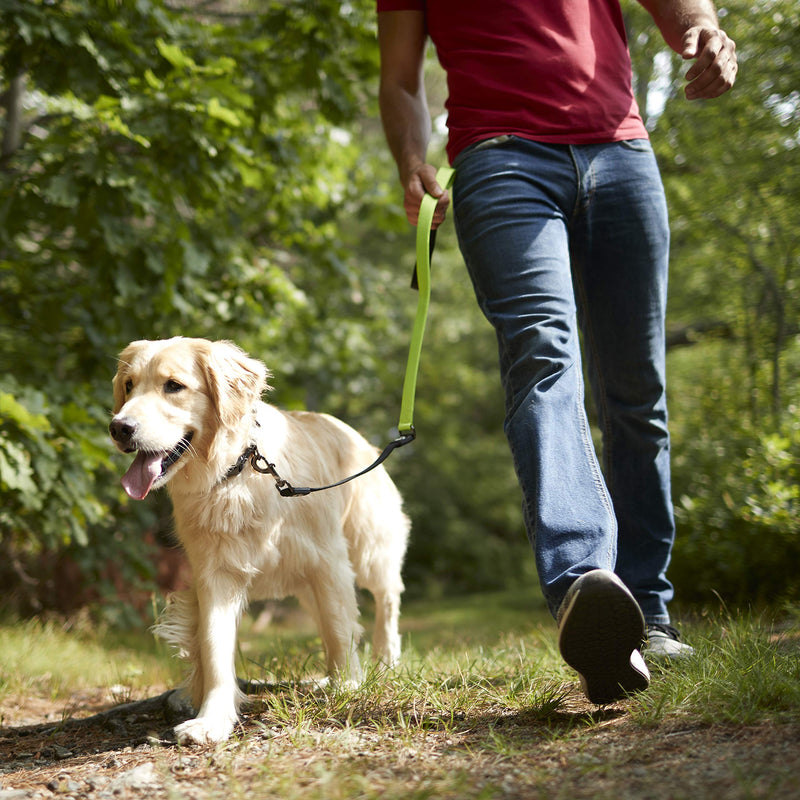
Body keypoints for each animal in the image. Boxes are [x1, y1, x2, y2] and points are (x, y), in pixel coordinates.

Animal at [109, 336, 410, 744]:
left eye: (173, 385)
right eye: (128, 385)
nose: (118, 428)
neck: (236, 470)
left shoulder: (327, 561)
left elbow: (338, 626)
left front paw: (348, 685)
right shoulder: (215, 574)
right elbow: (214, 647)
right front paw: (213, 719)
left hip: (370, 549)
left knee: (387, 599)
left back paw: (385, 659)